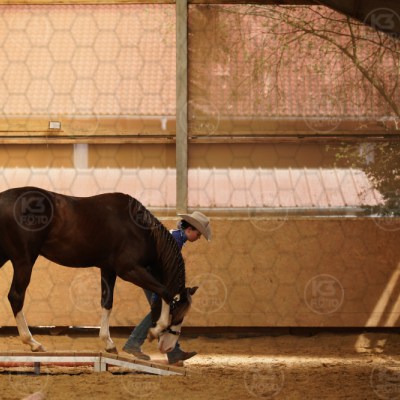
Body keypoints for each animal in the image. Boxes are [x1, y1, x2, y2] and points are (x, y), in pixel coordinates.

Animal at [0, 186, 197, 354]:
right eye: (179, 315)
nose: (168, 348)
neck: (139, 228)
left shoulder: (109, 269)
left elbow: (107, 302)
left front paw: (108, 342)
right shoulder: (129, 270)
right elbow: (165, 292)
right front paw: (155, 331)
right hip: (24, 260)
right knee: (16, 296)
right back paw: (33, 342)